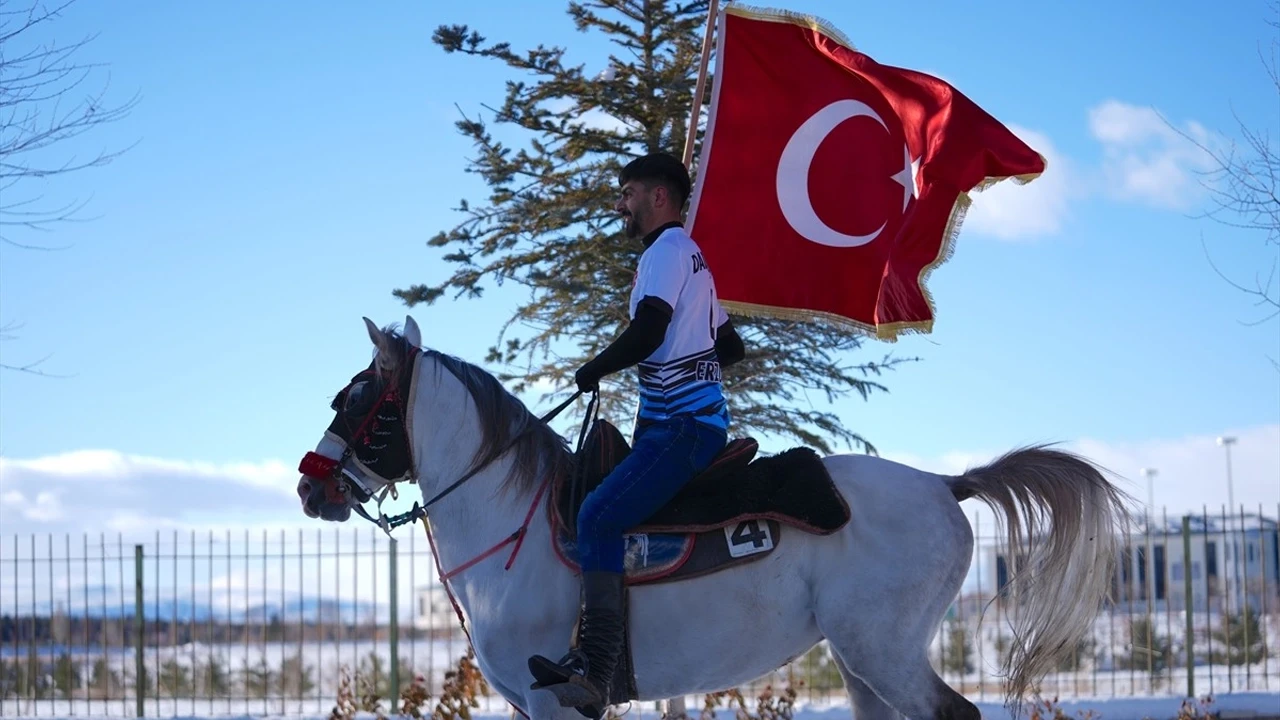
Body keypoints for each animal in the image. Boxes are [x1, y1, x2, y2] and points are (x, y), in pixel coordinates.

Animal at [296, 316, 1131, 717]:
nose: (310, 487)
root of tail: (944, 484)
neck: (511, 524)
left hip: (885, 648)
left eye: (360, 399)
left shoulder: (550, 701)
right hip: (862, 660)